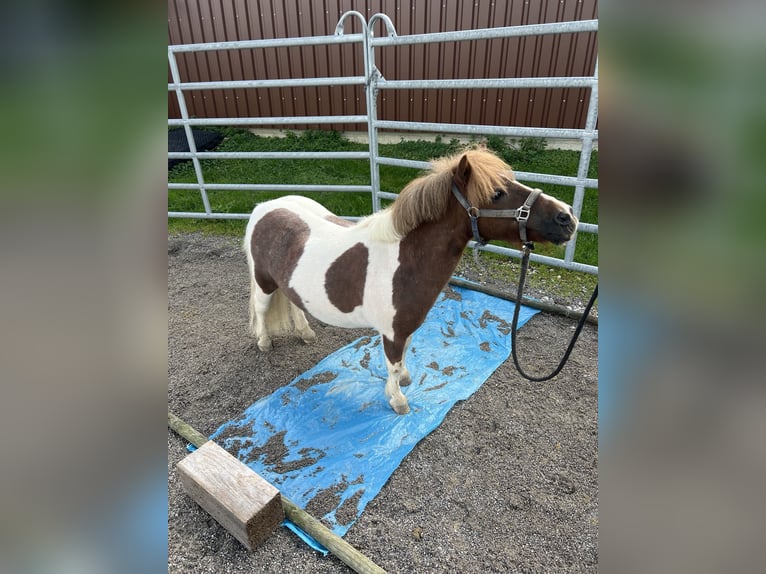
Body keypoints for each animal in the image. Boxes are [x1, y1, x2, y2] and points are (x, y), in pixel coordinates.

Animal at [244, 151, 576, 416]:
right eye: (496, 193)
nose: (567, 217)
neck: (405, 259)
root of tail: (265, 206)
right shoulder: (392, 332)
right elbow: (392, 363)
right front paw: (398, 400)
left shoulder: (408, 326)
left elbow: (405, 354)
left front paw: (404, 379)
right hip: (263, 282)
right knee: (261, 310)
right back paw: (264, 343)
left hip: (288, 284)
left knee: (294, 304)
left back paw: (305, 333)